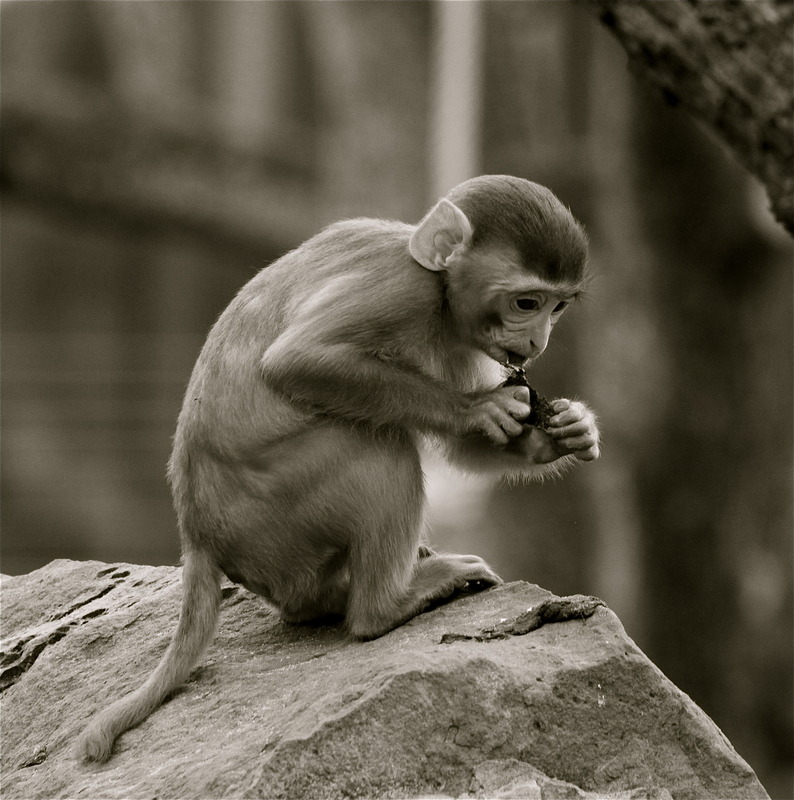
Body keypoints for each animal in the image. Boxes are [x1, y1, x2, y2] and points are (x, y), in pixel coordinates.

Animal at [76, 175, 600, 762]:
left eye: (558, 307)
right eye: (526, 302)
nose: (537, 342)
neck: (438, 287)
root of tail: (197, 534)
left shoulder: (461, 335)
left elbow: (463, 449)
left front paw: (568, 430)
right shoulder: (403, 291)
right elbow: (296, 360)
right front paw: (478, 408)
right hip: (276, 506)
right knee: (379, 449)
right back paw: (385, 604)